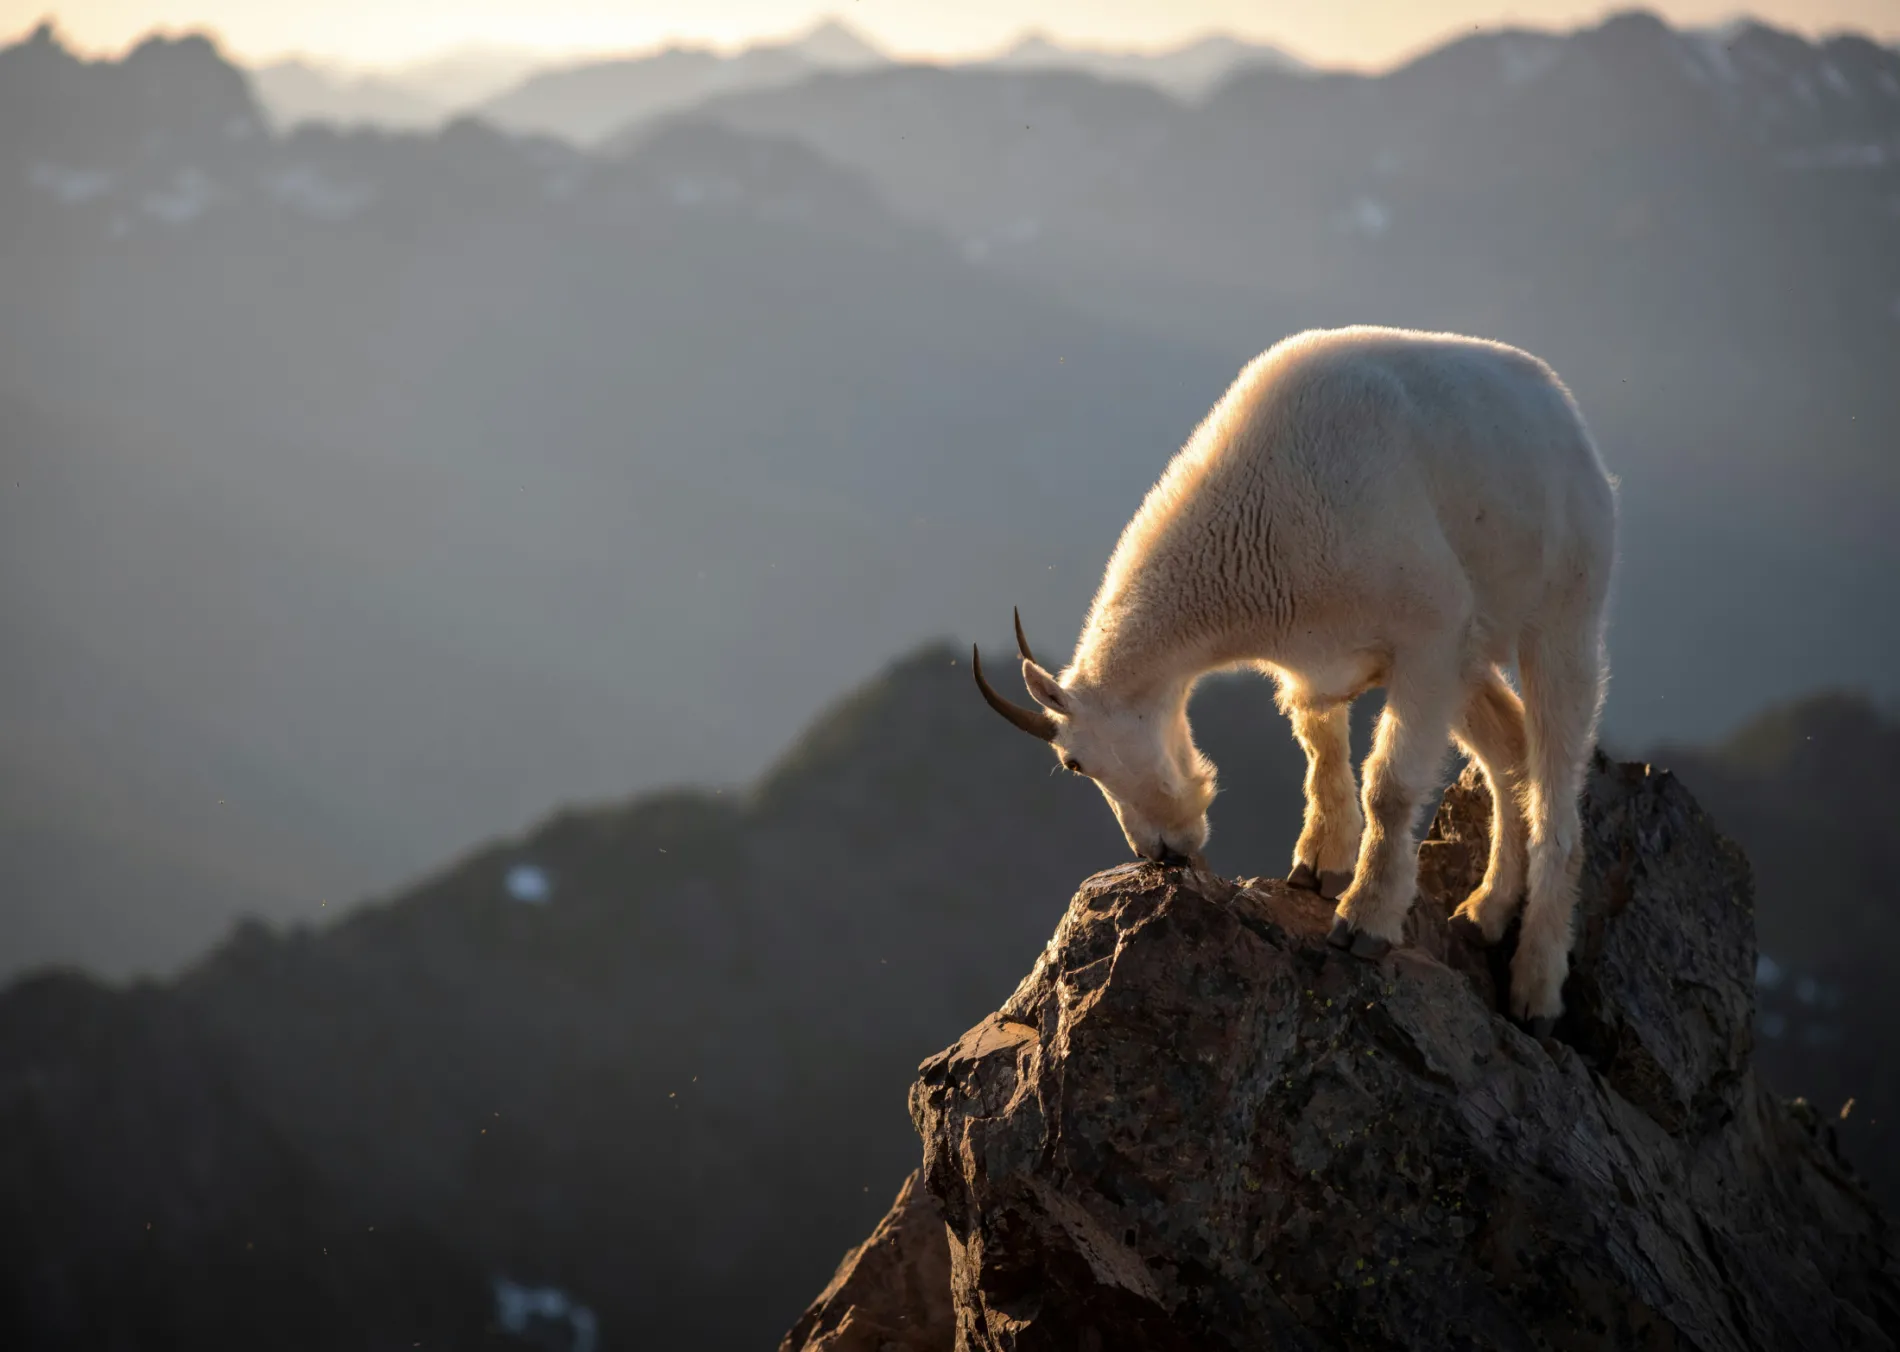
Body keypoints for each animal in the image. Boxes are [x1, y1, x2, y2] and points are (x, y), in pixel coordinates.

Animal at [980, 324, 1618, 1025]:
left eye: (1073, 763)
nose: (1162, 853)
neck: (1264, 518)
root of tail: (1569, 420)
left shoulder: (1431, 633)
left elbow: (1391, 787)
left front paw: (1364, 922)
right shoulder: (1320, 664)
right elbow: (1320, 747)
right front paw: (1319, 866)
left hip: (1564, 617)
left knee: (1556, 782)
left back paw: (1537, 984)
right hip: (1473, 659)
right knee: (1508, 755)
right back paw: (1485, 912)